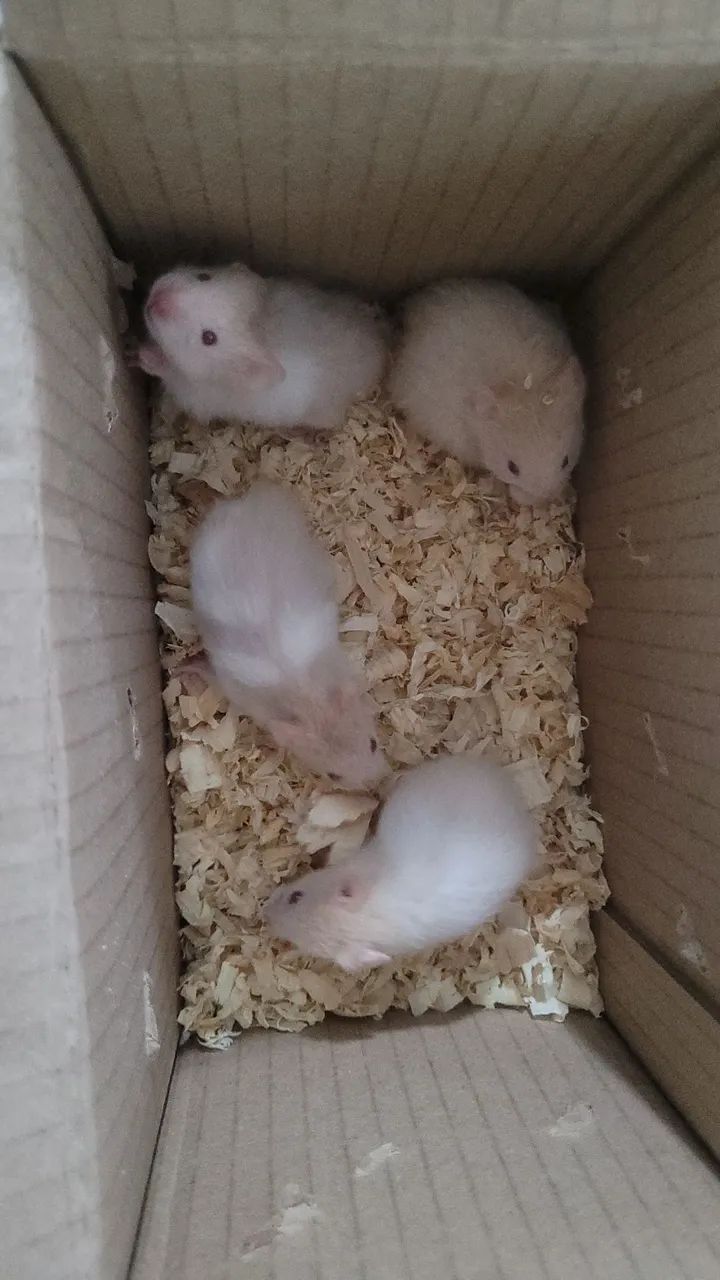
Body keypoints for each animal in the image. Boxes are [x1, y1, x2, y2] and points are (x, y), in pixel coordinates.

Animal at [137, 262, 387, 429]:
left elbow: (169, 371)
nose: (157, 300)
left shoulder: (197, 395)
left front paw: (142, 354)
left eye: (209, 338)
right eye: (204, 276)